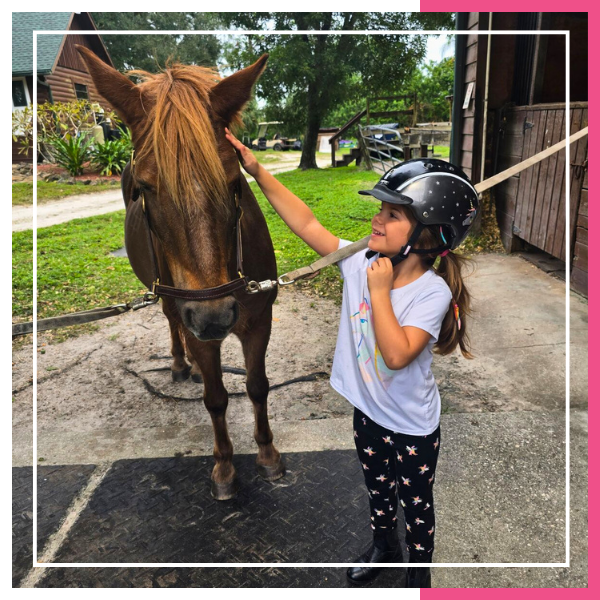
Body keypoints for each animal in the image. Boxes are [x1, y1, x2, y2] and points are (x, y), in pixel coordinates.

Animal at [76, 44, 284, 500]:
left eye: (235, 181)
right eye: (145, 188)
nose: (215, 317)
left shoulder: (259, 320)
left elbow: (257, 386)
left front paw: (267, 453)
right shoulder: (195, 318)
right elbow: (216, 397)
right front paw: (224, 466)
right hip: (171, 301)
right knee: (173, 321)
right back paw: (178, 362)